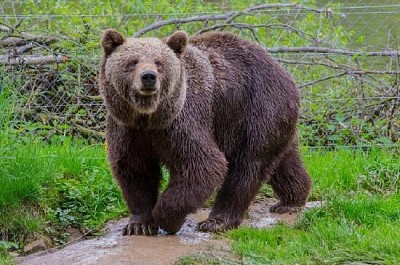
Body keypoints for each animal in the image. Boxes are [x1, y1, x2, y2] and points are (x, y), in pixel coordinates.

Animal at [98, 28, 310, 234]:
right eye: (132, 61)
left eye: (159, 63)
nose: (149, 77)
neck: (150, 117)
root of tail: (283, 71)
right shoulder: (128, 129)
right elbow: (135, 170)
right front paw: (139, 224)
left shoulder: (183, 121)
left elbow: (202, 165)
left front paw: (168, 219)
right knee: (284, 159)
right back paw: (291, 200)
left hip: (257, 109)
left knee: (248, 164)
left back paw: (217, 221)